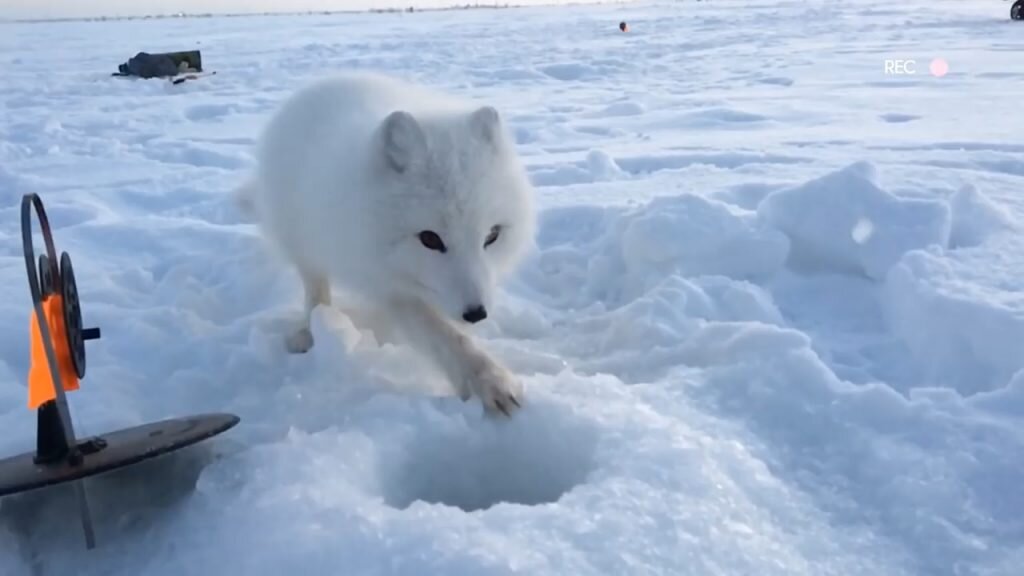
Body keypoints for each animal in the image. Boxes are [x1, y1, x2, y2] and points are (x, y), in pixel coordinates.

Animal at [240, 71, 540, 414]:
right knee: (315, 289)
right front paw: (490, 381)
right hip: (301, 240)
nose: (476, 314)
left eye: (492, 236)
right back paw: (311, 328)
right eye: (429, 239)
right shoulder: (387, 284)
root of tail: (320, 84)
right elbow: (445, 336)